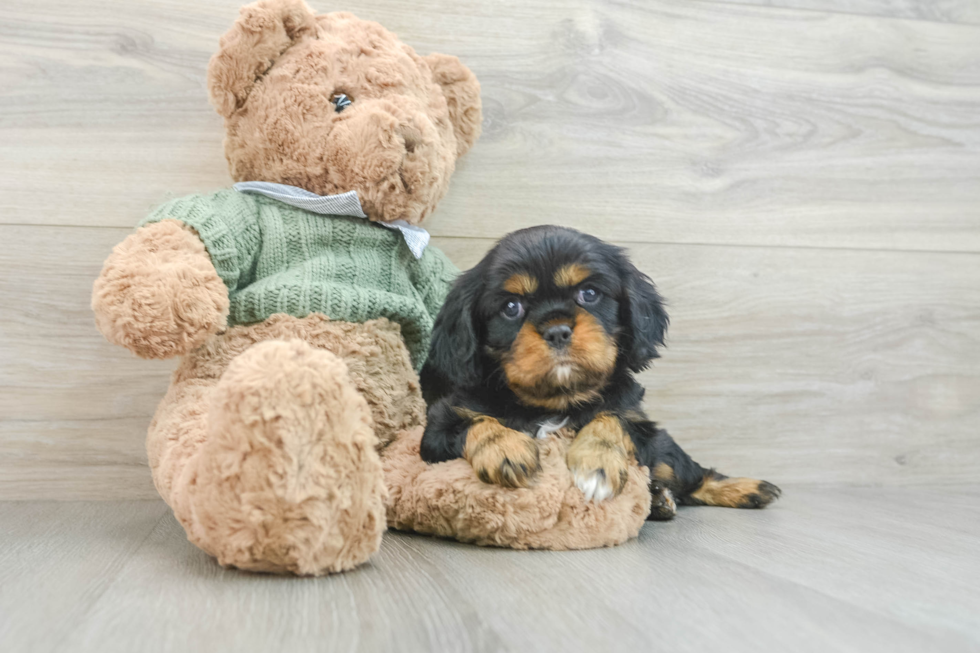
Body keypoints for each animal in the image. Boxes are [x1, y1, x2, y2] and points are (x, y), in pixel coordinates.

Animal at [422, 224, 780, 520]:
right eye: (511, 307)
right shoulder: (437, 431)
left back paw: (746, 489)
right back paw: (660, 499)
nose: (557, 331)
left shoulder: (637, 421)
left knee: (690, 476)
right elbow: (476, 422)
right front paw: (505, 451)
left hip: (664, 451)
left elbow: (610, 419)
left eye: (590, 294)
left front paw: (597, 464)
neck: (556, 401)